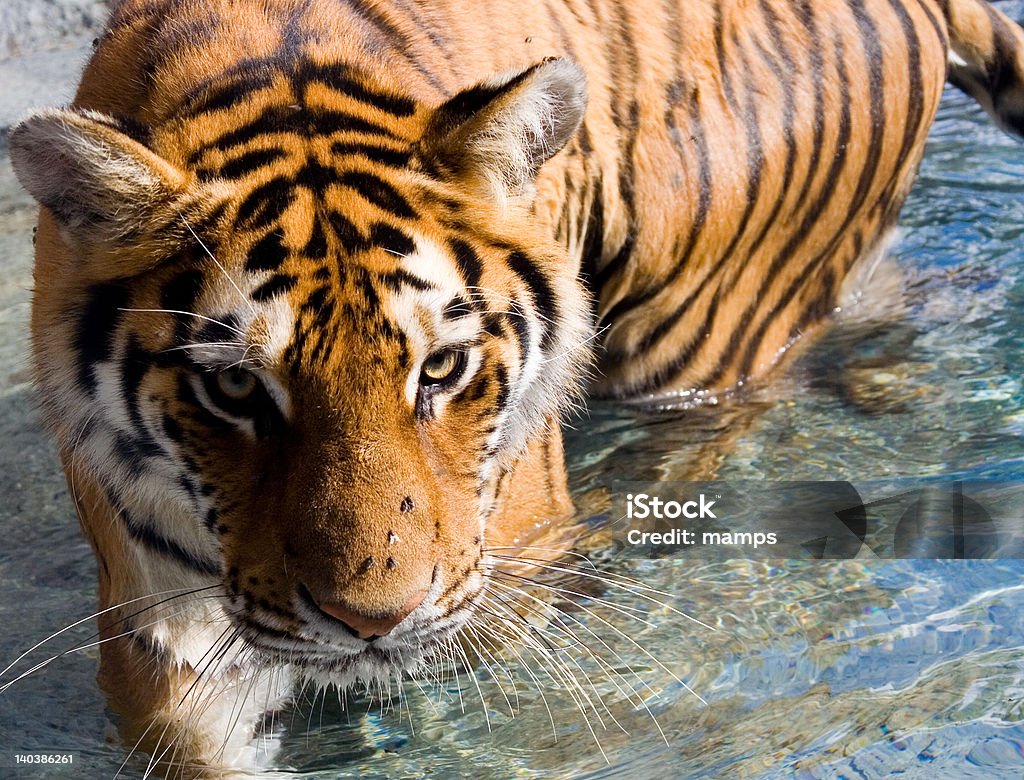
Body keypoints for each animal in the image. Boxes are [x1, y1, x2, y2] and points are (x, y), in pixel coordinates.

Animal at [8, 0, 1024, 773]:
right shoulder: (170, 641)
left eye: (440, 368)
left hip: (698, 341)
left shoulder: (512, 596)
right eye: (236, 391)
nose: (372, 622)